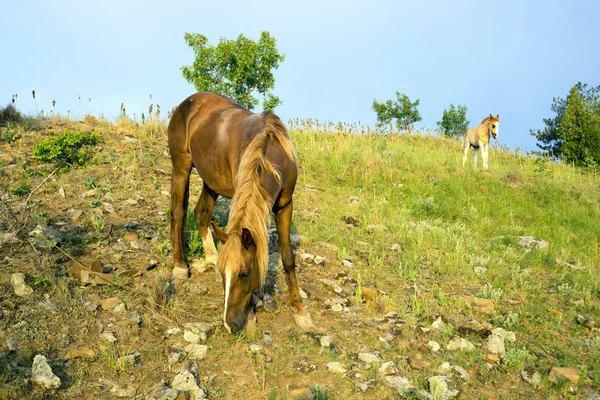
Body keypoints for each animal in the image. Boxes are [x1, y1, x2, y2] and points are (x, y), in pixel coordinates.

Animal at [166, 92, 312, 332]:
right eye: (224, 274)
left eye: (244, 274)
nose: (230, 324)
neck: (270, 154)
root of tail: (189, 102)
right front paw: (251, 316)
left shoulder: (285, 206)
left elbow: (288, 258)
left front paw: (300, 310)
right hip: (181, 166)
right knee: (178, 212)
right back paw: (179, 265)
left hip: (211, 180)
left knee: (202, 212)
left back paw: (211, 255)